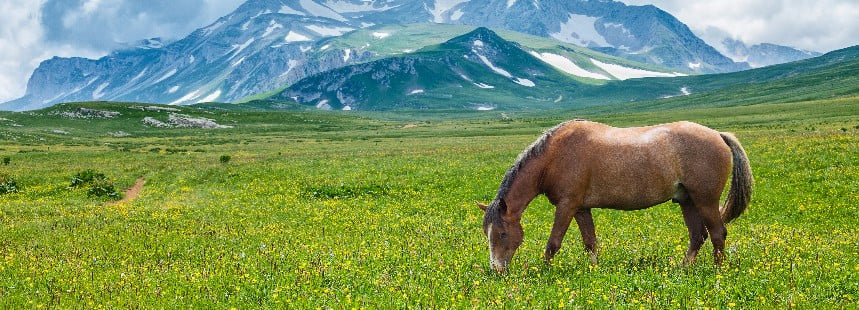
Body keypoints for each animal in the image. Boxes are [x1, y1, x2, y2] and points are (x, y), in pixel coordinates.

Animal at [478, 120, 752, 272]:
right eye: (487, 233)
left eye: (502, 234)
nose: (497, 270)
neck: (554, 157)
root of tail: (718, 135)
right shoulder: (580, 208)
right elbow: (590, 242)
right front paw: (594, 269)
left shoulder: (566, 206)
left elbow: (553, 243)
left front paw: (544, 272)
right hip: (687, 201)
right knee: (698, 235)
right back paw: (684, 269)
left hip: (706, 200)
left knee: (717, 234)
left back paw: (717, 271)